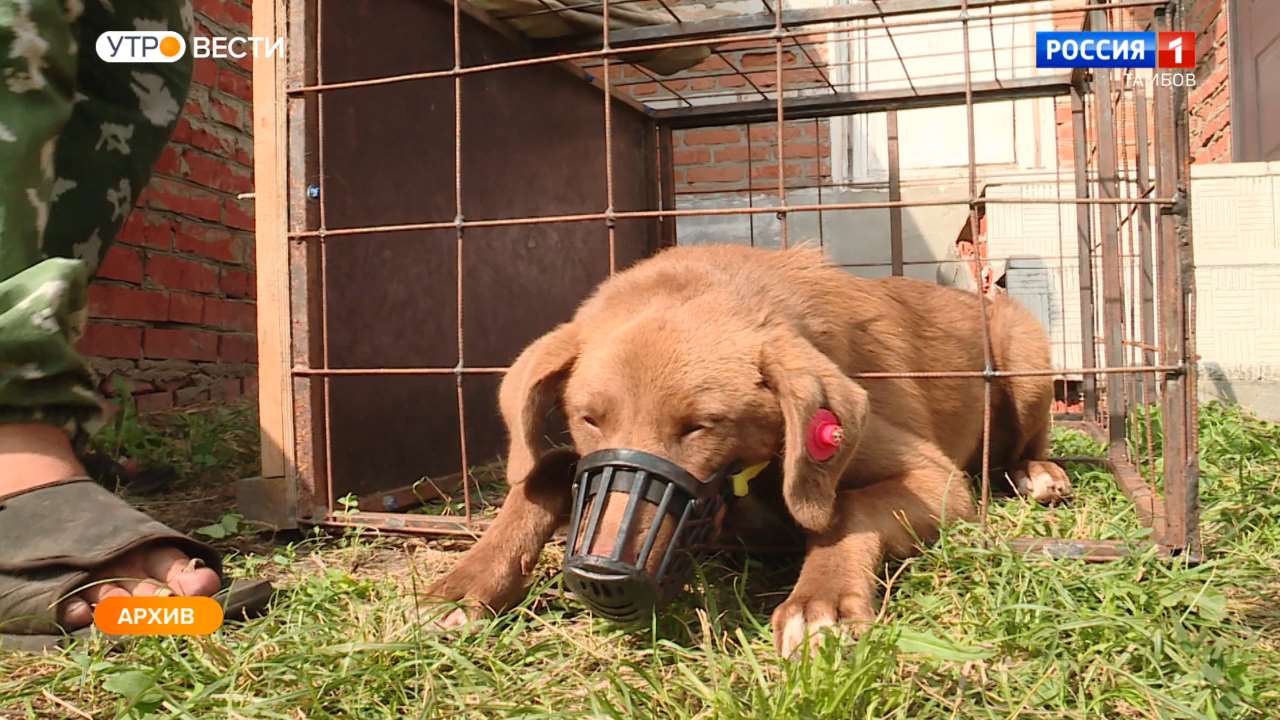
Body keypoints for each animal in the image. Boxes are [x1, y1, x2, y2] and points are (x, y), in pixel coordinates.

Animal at [430, 243, 1070, 653]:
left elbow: (847, 509)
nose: (602, 576)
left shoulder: (935, 479)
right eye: (588, 419)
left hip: (1027, 362)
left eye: (701, 425)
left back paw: (1038, 474)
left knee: (1025, 444)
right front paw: (467, 583)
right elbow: (542, 473)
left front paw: (821, 604)